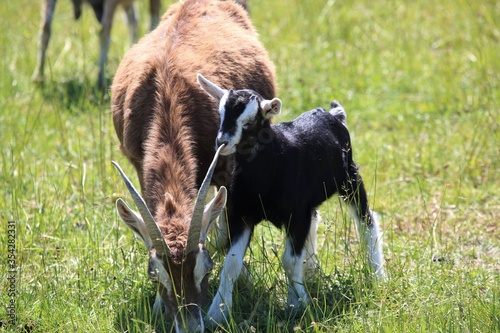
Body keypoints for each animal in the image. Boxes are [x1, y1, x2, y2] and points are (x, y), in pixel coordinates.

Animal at [31, 0, 160, 87]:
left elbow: (104, 32)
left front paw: (101, 78)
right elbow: (45, 29)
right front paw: (38, 76)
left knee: (152, 15)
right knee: (133, 19)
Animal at [110, 0, 278, 330]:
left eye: (206, 269)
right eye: (155, 275)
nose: (190, 326)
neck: (167, 93)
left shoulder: (226, 169)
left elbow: (229, 246)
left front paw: (221, 308)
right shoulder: (138, 166)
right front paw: (157, 307)